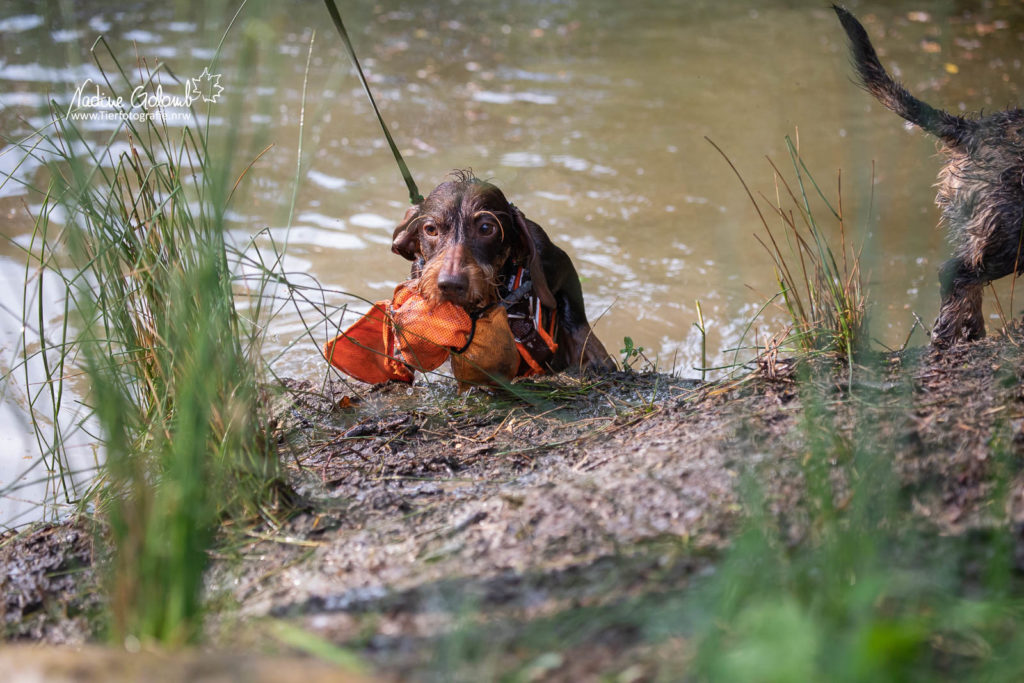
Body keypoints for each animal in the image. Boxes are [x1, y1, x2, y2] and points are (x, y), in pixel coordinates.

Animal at [391, 171, 614, 374]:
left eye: (486, 228)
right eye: (430, 229)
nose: (451, 284)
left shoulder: (558, 264)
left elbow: (577, 322)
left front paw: (596, 358)